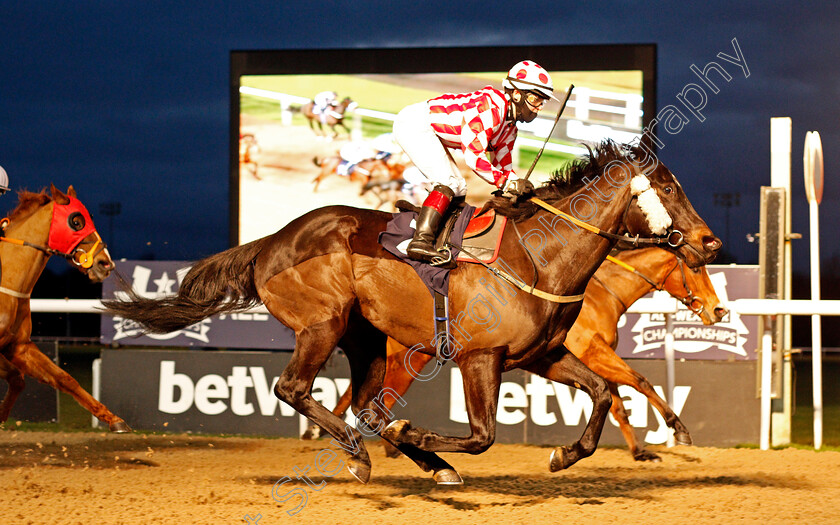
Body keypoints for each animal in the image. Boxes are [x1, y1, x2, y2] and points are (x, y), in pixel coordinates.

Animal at [0, 186, 130, 432]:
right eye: (76, 221)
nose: (105, 263)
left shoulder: (19, 347)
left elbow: (62, 378)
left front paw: (114, 419)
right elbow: (16, 376)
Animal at [103, 139, 720, 484]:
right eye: (668, 188)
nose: (709, 243)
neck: (540, 256)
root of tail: (270, 242)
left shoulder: (540, 355)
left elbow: (603, 394)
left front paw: (564, 456)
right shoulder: (480, 357)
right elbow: (482, 434)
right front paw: (423, 437)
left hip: (367, 337)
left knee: (366, 406)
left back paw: (409, 458)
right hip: (324, 323)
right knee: (296, 389)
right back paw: (362, 452)